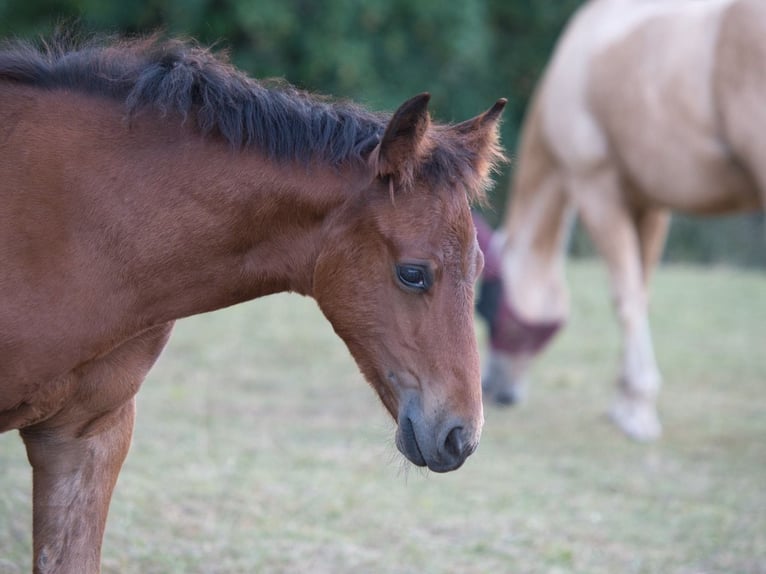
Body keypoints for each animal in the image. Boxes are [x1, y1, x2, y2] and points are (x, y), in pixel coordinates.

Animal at [478, 0, 765, 441]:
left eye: (490, 307)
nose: (495, 389)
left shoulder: (597, 188)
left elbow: (625, 298)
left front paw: (639, 411)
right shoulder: (649, 203)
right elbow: (641, 291)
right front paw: (625, 401)